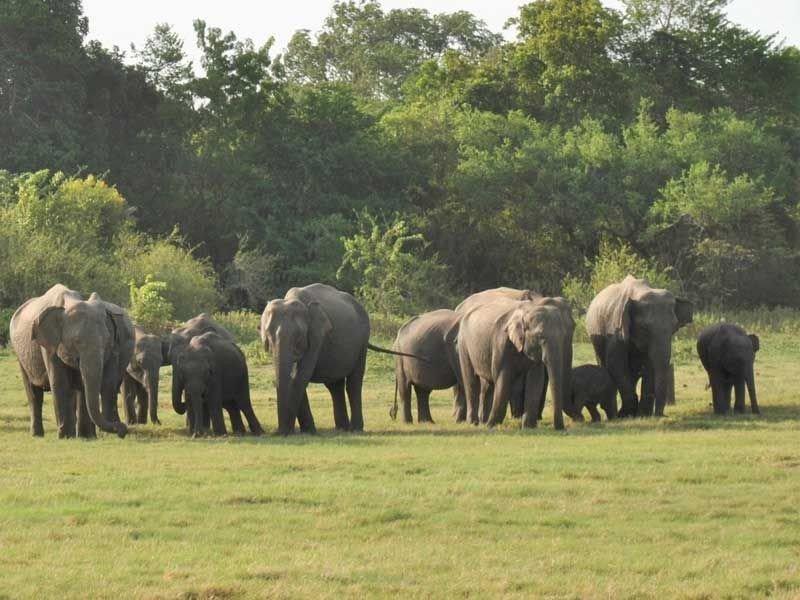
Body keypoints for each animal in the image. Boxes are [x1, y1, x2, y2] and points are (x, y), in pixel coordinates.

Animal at [9, 284, 133, 438]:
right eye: (76, 341)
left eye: (107, 341)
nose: (122, 428)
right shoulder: (50, 345)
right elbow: (59, 382)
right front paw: (66, 437)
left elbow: (86, 384)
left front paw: (87, 438)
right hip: (20, 353)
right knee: (33, 392)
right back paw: (37, 435)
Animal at [262, 284, 424, 434]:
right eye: (268, 337)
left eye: (298, 337)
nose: (279, 432)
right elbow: (295, 376)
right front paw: (304, 431)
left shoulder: (317, 336)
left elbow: (300, 376)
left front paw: (301, 431)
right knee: (335, 386)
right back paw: (342, 428)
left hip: (362, 342)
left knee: (353, 383)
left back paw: (355, 429)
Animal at [456, 294, 576, 428]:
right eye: (540, 336)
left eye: (564, 335)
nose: (561, 429)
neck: (528, 309)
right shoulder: (501, 342)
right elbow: (502, 378)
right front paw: (492, 426)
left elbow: (535, 380)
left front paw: (529, 427)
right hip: (463, 344)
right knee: (471, 382)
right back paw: (474, 423)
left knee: (488, 385)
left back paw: (483, 421)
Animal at [580, 276, 692, 418]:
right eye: (644, 328)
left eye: (674, 327)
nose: (660, 415)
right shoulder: (615, 330)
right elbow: (615, 364)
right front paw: (626, 414)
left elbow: (650, 365)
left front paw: (643, 414)